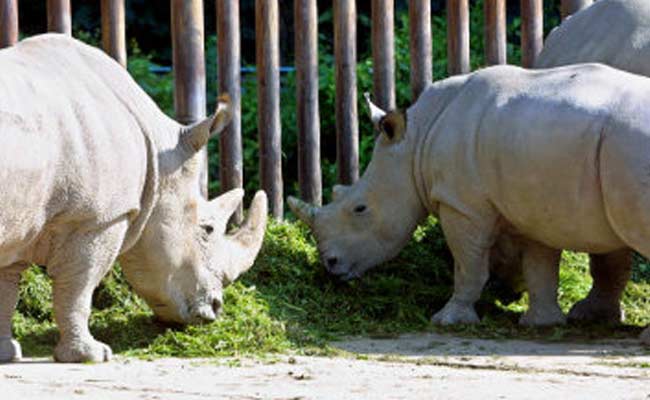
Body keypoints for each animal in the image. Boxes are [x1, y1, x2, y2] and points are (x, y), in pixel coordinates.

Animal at [0, 36, 266, 364]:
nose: (217, 308)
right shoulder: (97, 219)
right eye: (207, 230)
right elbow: (79, 286)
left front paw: (6, 354)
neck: (160, 156)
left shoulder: (22, 219)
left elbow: (6, 289)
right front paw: (92, 355)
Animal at [288, 62, 648, 344]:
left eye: (360, 209)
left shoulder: (461, 205)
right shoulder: (532, 206)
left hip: (630, 147)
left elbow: (468, 265)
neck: (415, 142)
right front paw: (541, 324)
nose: (330, 264)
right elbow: (539, 265)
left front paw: (448, 320)